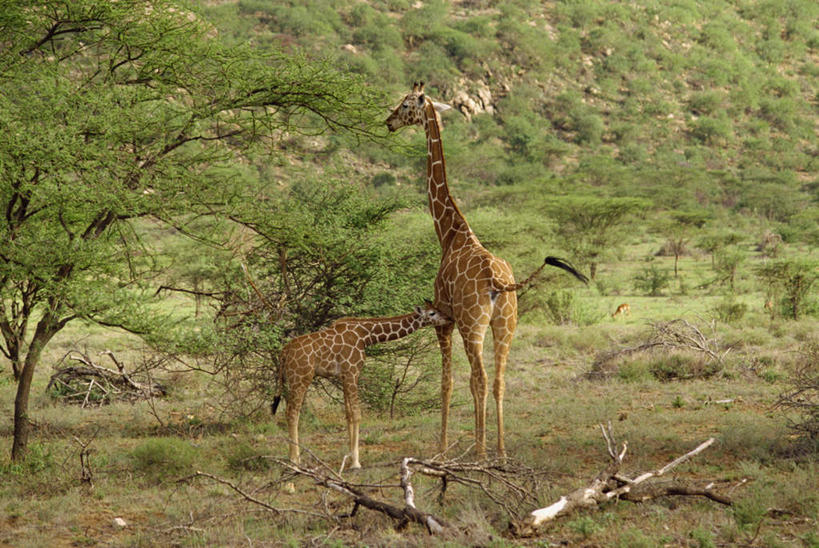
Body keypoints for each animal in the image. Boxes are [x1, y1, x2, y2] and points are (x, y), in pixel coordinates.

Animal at [386, 81, 588, 458]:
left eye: (406, 103)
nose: (388, 122)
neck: (450, 232)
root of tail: (498, 282)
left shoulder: (443, 319)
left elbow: (447, 383)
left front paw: (442, 448)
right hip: (506, 324)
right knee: (499, 380)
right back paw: (501, 450)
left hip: (473, 325)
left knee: (478, 379)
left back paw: (480, 452)